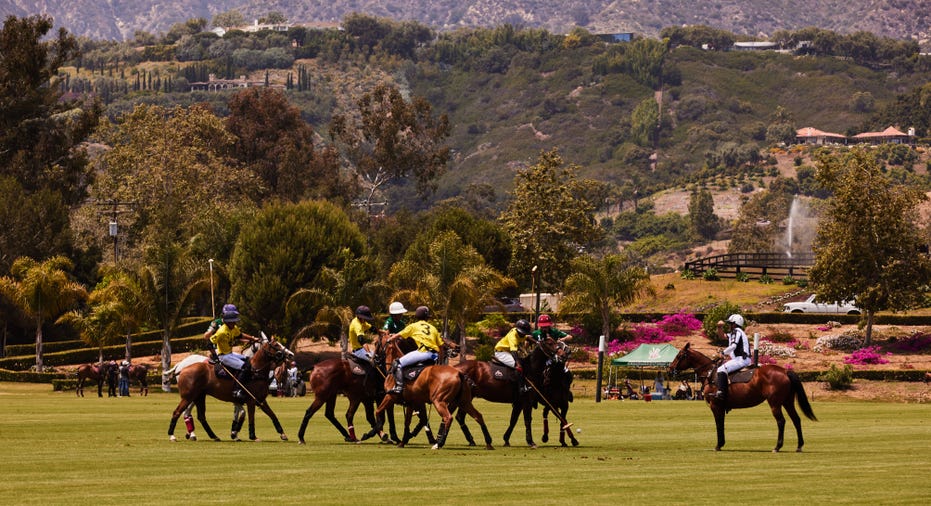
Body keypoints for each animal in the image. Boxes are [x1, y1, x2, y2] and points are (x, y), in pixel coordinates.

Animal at [668, 342, 816, 452]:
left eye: (679, 355)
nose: (670, 369)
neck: (710, 373)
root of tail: (785, 371)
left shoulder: (715, 405)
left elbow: (718, 424)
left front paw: (718, 445)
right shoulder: (721, 406)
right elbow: (721, 423)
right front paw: (721, 443)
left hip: (774, 402)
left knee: (781, 421)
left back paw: (777, 447)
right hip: (787, 401)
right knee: (796, 419)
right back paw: (799, 446)